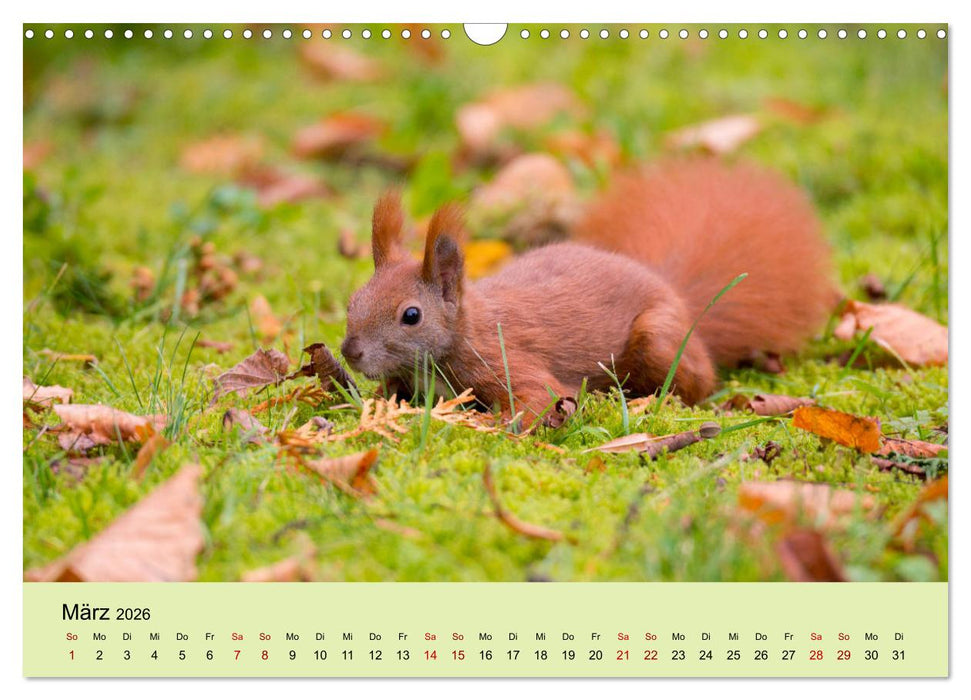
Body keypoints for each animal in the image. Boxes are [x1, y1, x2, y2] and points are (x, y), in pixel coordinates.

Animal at [341, 158, 838, 425]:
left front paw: (488, 428)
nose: (350, 352)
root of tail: (679, 297)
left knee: (698, 383)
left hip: (659, 339)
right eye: (351, 301)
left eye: (411, 315)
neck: (465, 329)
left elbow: (536, 399)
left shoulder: (504, 359)